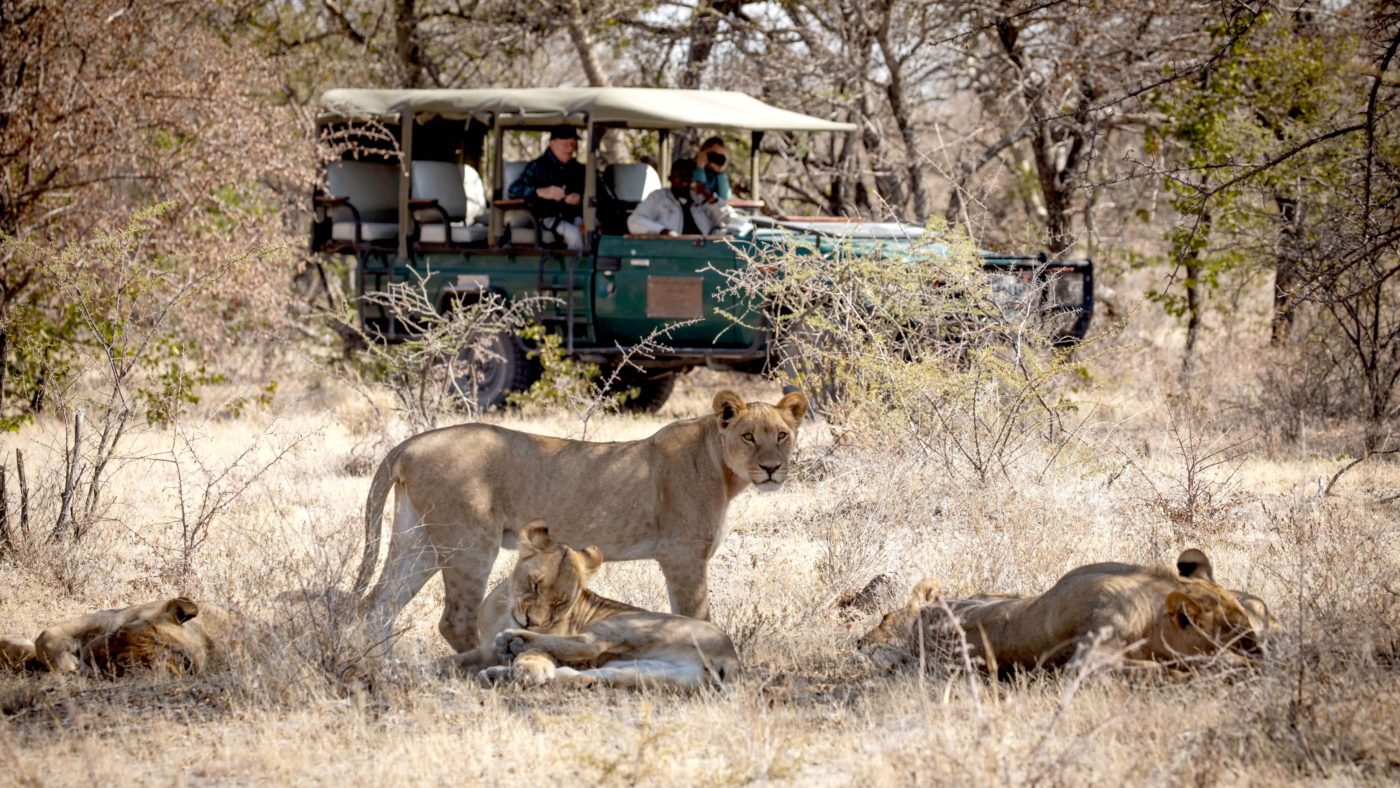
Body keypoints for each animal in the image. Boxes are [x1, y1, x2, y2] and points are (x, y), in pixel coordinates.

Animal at [355, 389, 806, 655]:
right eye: (748, 436)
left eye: (782, 435)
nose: (772, 469)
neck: (723, 469)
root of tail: (411, 443)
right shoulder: (682, 557)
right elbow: (697, 616)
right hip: (469, 542)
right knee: (454, 620)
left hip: (418, 540)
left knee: (377, 606)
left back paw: (385, 668)